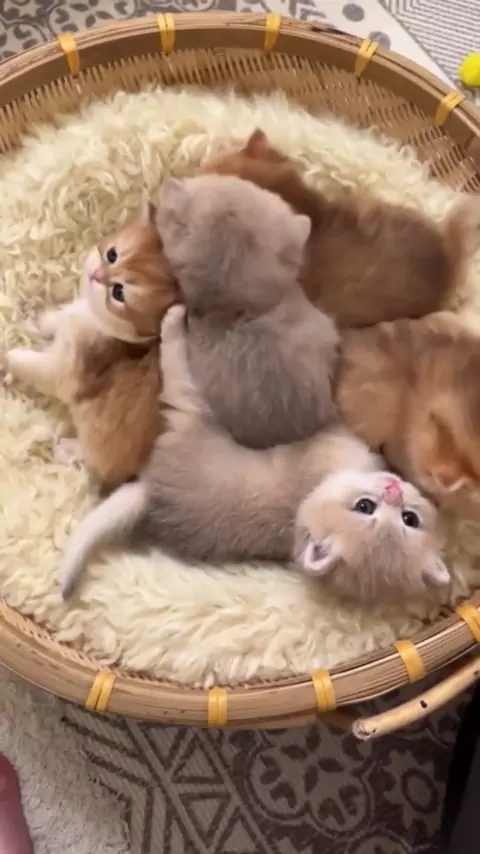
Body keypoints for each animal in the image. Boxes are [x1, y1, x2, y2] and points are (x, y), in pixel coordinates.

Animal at [4, 201, 177, 490]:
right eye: (112, 255)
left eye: (119, 292)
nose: (97, 275)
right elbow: (54, 319)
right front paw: (37, 314)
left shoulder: (68, 369)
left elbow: (33, 365)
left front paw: (8, 356)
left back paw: (67, 450)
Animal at [58, 305, 450, 602]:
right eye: (366, 507)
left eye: (409, 519)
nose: (394, 490)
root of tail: (153, 493)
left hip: (192, 412)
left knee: (176, 366)